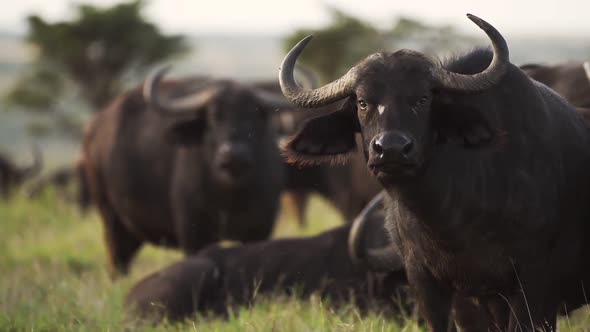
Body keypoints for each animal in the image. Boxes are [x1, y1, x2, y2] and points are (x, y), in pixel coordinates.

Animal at [82, 68, 292, 276]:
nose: (234, 154)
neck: (230, 197)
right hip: (110, 216)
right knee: (116, 260)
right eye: (213, 118)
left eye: (255, 116)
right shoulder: (194, 233)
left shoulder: (261, 229)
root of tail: (93, 127)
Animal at [280, 14, 590, 330]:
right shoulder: (430, 283)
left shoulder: (535, 281)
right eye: (363, 102)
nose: (391, 148)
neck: (451, 219)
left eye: (423, 99)